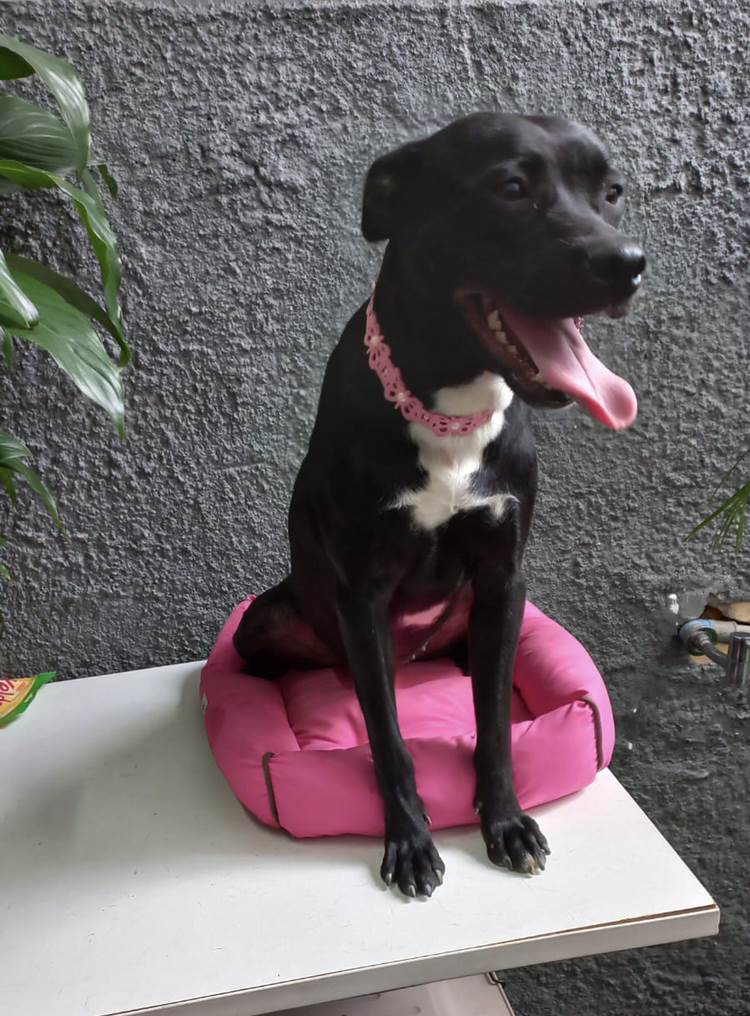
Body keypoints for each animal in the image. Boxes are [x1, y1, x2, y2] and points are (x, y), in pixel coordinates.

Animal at [234, 112, 644, 898]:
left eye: (610, 191)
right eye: (511, 188)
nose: (628, 263)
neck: (451, 410)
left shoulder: (503, 581)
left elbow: (494, 719)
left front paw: (505, 820)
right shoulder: (361, 592)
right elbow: (389, 737)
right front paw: (410, 839)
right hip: (267, 625)